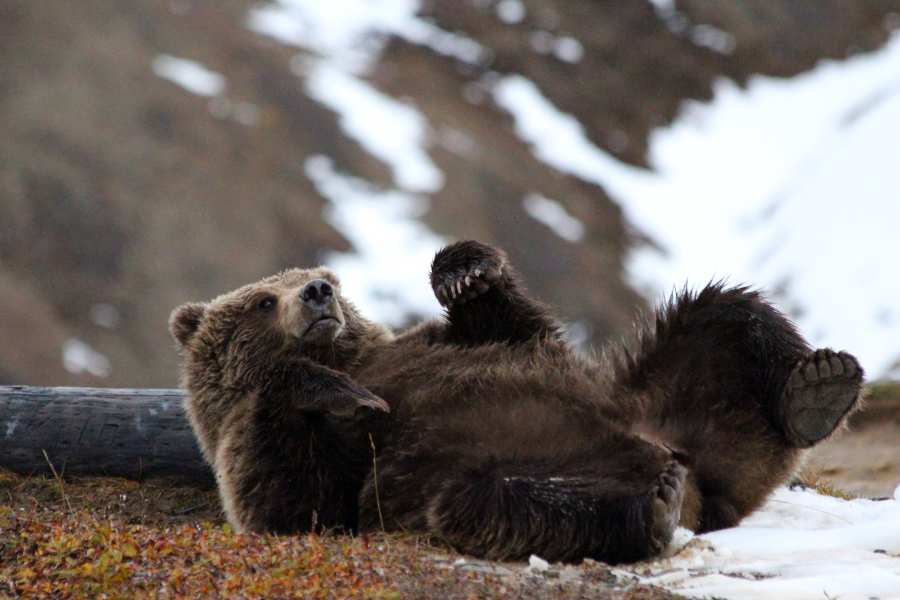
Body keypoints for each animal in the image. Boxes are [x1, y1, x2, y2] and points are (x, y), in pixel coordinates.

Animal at [170, 240, 864, 564]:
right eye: (264, 298)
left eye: (330, 280)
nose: (317, 292)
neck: (350, 359)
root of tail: (699, 486)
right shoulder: (266, 449)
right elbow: (297, 503)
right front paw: (339, 392)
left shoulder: (444, 346)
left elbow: (517, 327)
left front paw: (466, 272)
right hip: (464, 481)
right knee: (492, 502)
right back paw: (652, 507)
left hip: (659, 393)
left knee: (723, 312)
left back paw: (817, 386)